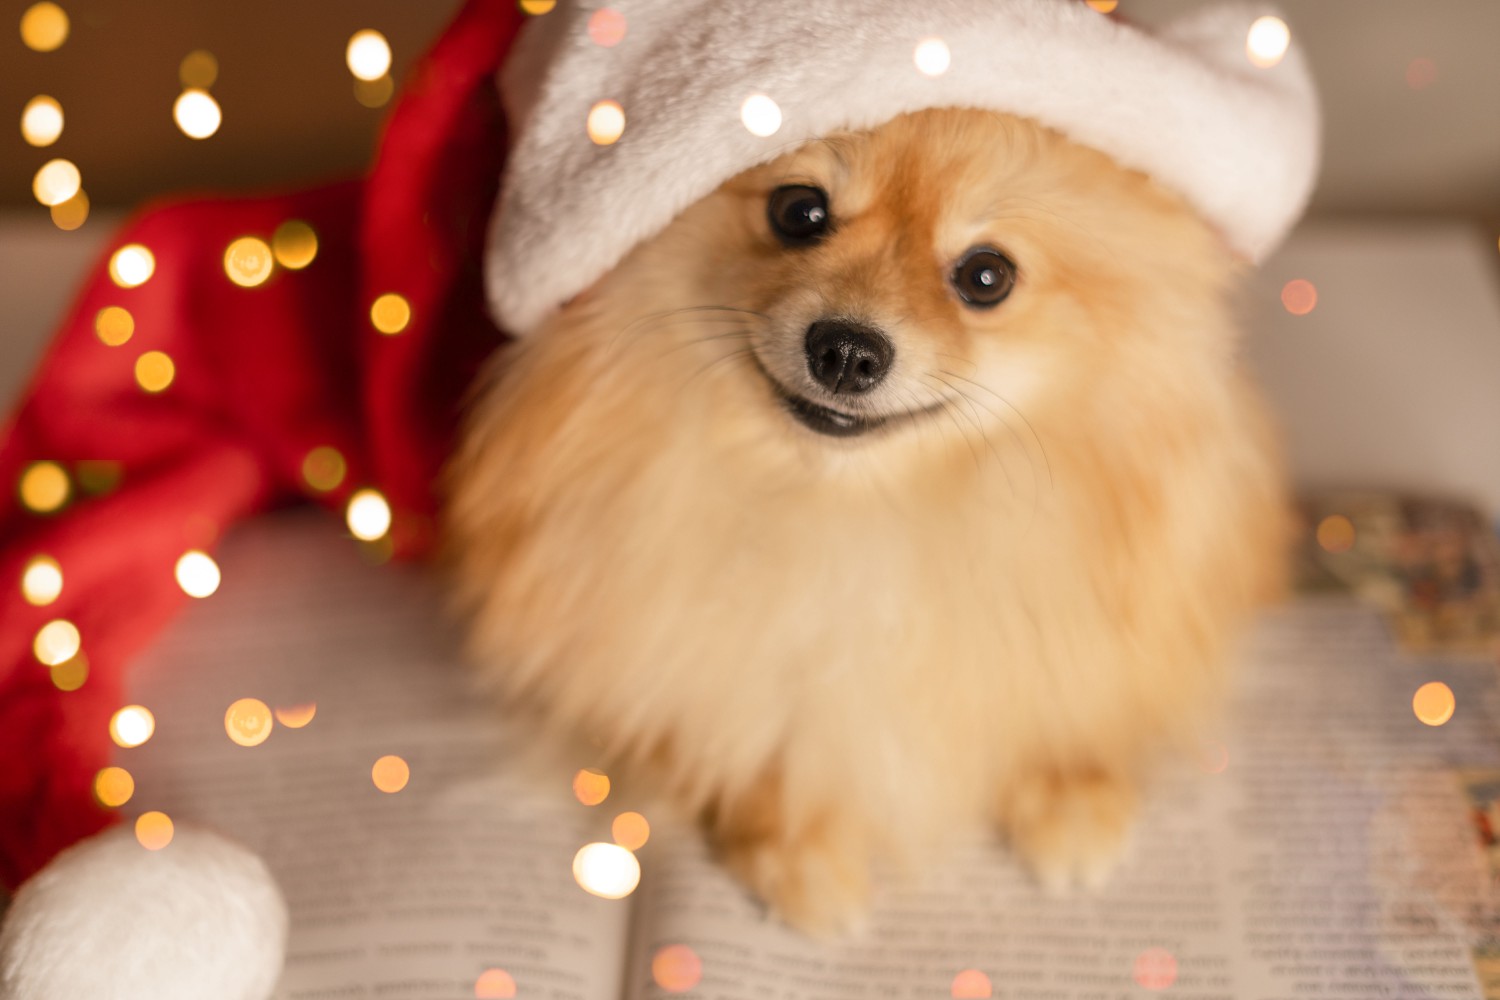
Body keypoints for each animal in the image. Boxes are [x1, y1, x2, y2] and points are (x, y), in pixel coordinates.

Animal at [447, 107, 1290, 929]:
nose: (847, 351)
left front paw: (1070, 791)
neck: (866, 506)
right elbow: (748, 732)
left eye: (987, 276)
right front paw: (792, 851)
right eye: (799, 212)